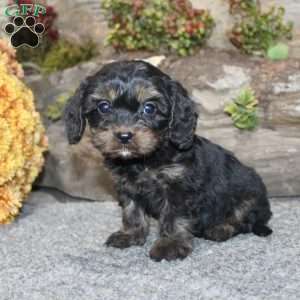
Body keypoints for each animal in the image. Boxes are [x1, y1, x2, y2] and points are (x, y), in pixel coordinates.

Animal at [64, 61, 274, 262]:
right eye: (104, 106)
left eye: (149, 108)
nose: (124, 136)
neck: (144, 160)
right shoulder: (127, 187)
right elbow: (131, 212)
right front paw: (131, 235)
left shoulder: (177, 186)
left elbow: (173, 216)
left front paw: (170, 244)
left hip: (249, 195)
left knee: (243, 220)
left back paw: (220, 228)